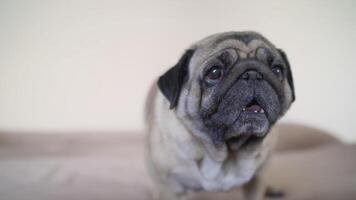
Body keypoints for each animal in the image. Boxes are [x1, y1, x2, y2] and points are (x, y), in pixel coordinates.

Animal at [145, 31, 294, 200]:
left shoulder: (258, 179)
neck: (225, 153)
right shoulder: (168, 187)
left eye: (277, 70)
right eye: (215, 72)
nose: (253, 74)